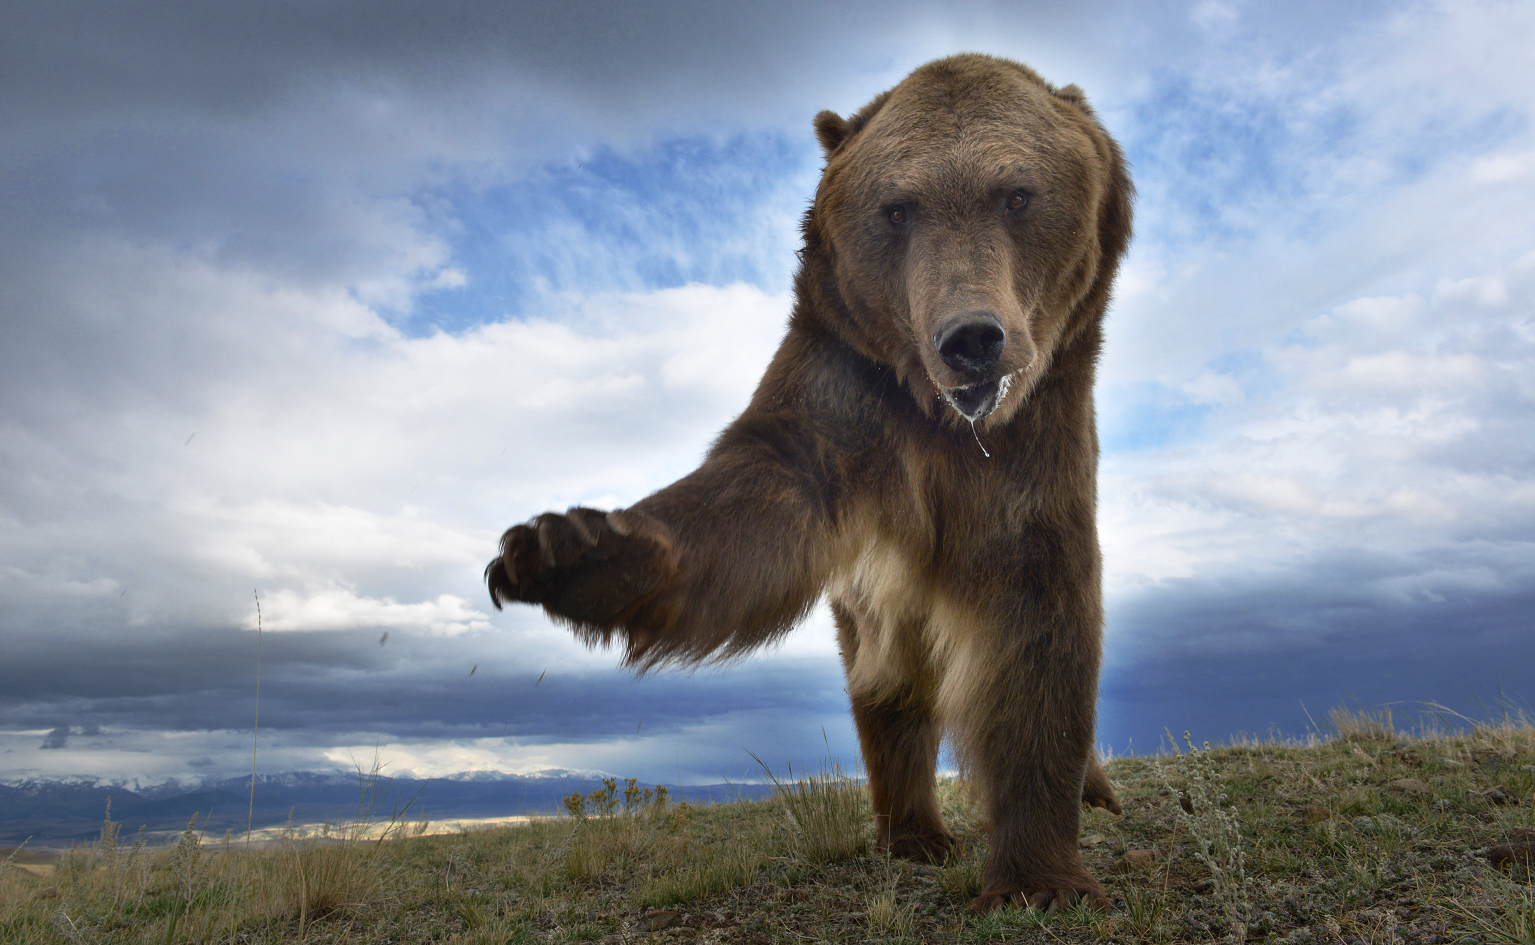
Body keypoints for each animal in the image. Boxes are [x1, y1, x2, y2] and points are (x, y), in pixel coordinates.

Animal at [485, 53, 1135, 914]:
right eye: (896, 208)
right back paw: (913, 830)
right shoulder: (841, 389)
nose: (970, 338)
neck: (939, 426)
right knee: (887, 687)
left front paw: (1040, 878)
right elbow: (754, 511)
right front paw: (570, 546)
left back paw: (1090, 791)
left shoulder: (1038, 439)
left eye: (1017, 193)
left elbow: (1039, 624)